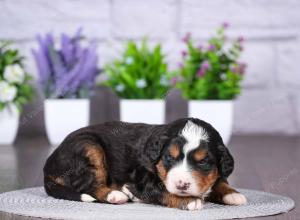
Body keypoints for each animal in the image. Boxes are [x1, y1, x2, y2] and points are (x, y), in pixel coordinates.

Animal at [44, 117, 246, 211]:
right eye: (169, 158)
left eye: (203, 161)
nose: (182, 184)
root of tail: (48, 165)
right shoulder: (143, 180)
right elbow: (163, 190)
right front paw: (189, 200)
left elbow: (219, 180)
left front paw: (232, 194)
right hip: (89, 147)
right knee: (88, 185)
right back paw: (116, 195)